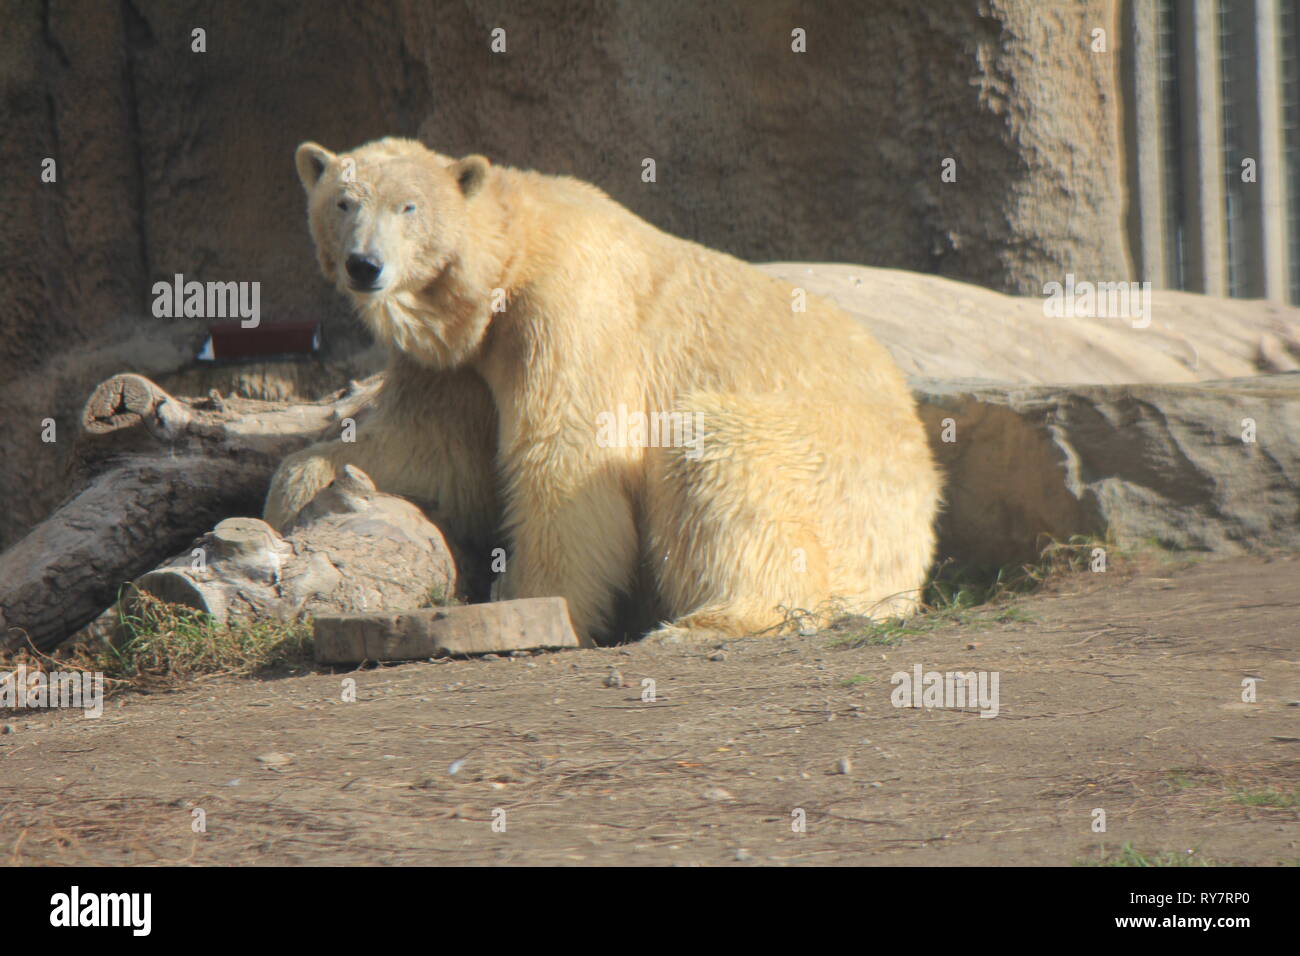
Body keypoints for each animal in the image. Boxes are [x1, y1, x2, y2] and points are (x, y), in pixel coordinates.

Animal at [266, 136, 935, 642]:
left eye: (408, 207)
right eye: (344, 202)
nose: (365, 265)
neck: (512, 257)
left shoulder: (569, 305)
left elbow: (568, 454)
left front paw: (536, 598)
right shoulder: (460, 361)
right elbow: (429, 445)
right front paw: (295, 492)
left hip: (836, 474)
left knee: (722, 458)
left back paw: (709, 621)